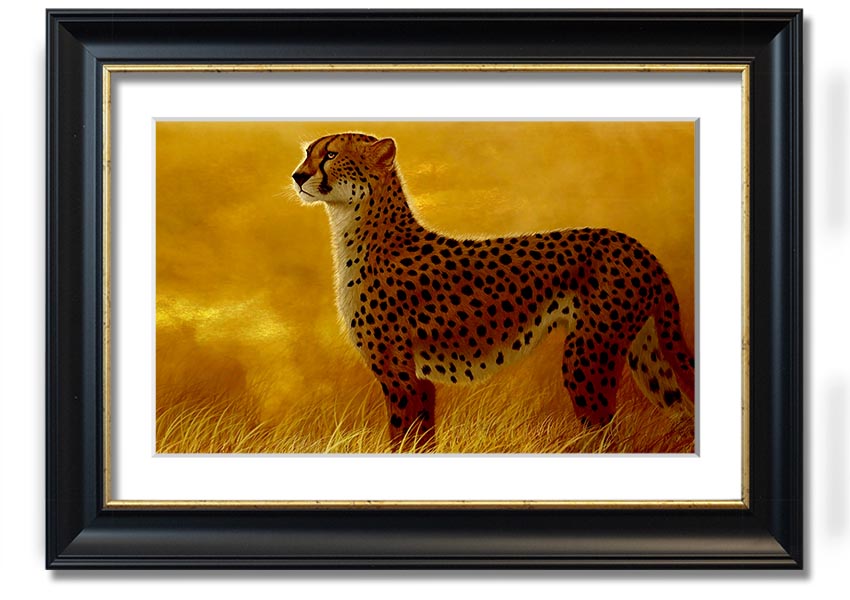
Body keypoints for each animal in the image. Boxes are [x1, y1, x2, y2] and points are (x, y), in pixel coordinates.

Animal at [291, 132, 695, 449]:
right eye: (308, 152)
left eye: (330, 155)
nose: (297, 176)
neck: (358, 226)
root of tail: (635, 244)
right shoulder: (419, 379)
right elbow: (420, 441)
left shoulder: (400, 376)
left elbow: (403, 440)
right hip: (645, 353)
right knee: (682, 411)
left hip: (588, 356)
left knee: (606, 434)